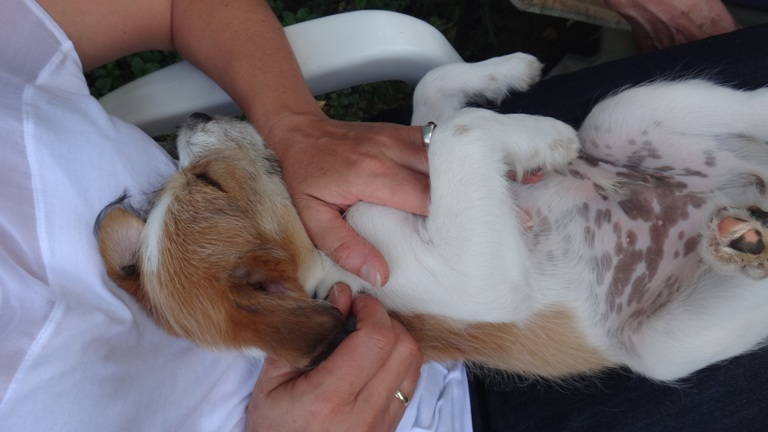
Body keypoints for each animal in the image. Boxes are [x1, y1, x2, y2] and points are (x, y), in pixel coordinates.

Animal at [97, 53, 768, 380]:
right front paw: (542, 138)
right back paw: (744, 243)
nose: (192, 120)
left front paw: (510, 81)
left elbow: (433, 100)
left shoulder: (420, 133)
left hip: (634, 112)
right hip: (661, 345)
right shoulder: (479, 283)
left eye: (196, 178)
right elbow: (460, 131)